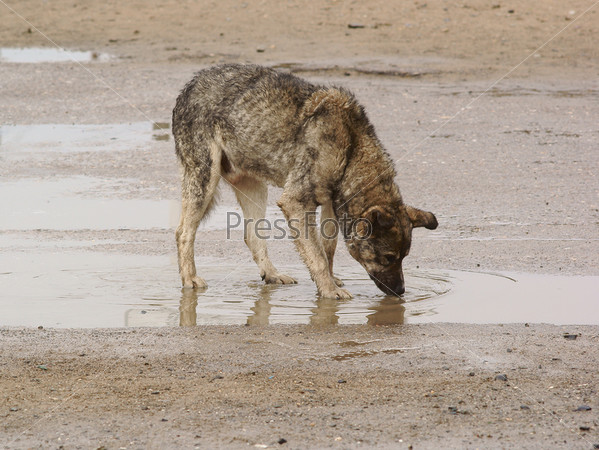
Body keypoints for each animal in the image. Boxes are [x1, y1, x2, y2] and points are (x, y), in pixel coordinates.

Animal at [171, 63, 438, 298]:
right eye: (388, 258)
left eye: (404, 257)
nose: (401, 292)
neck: (351, 147)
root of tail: (190, 84)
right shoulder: (295, 203)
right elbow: (317, 257)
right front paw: (329, 290)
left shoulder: (330, 206)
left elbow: (327, 249)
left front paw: (331, 279)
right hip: (205, 182)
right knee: (183, 232)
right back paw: (189, 279)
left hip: (255, 189)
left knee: (252, 236)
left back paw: (272, 274)